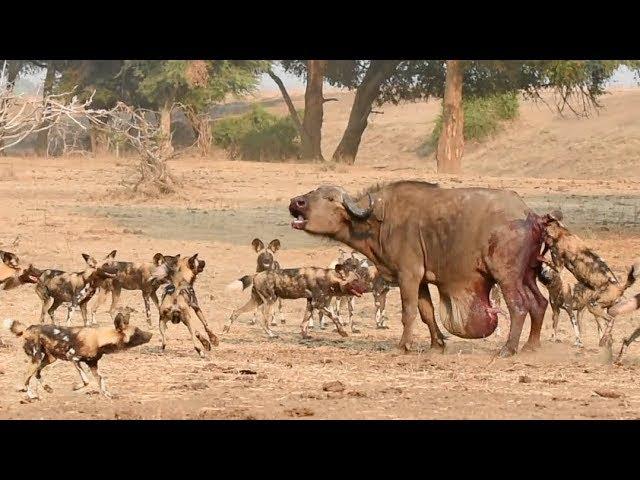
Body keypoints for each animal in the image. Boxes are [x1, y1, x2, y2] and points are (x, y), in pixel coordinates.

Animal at [3, 312, 153, 402]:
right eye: (137, 331)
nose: (151, 334)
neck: (100, 339)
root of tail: (27, 329)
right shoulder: (73, 358)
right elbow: (86, 381)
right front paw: (76, 387)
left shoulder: (93, 365)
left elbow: (101, 381)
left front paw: (107, 395)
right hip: (38, 357)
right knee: (26, 377)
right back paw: (31, 395)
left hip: (49, 358)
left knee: (37, 373)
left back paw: (46, 388)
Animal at [225, 264, 368, 340]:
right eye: (355, 280)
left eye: (360, 279)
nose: (366, 288)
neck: (329, 279)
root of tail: (256, 274)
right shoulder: (317, 304)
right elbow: (335, 317)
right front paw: (342, 332)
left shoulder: (311, 303)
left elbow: (305, 322)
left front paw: (305, 336)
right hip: (270, 301)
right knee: (263, 321)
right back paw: (272, 334)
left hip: (256, 301)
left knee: (235, 311)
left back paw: (226, 329)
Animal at [292, 180, 548, 356]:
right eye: (313, 192)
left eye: (329, 199)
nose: (296, 202)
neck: (380, 220)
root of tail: (530, 215)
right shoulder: (422, 280)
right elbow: (427, 312)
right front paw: (437, 345)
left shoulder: (408, 276)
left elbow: (409, 312)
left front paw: (404, 345)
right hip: (528, 276)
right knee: (539, 303)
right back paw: (531, 346)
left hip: (507, 277)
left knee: (519, 306)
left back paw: (508, 349)